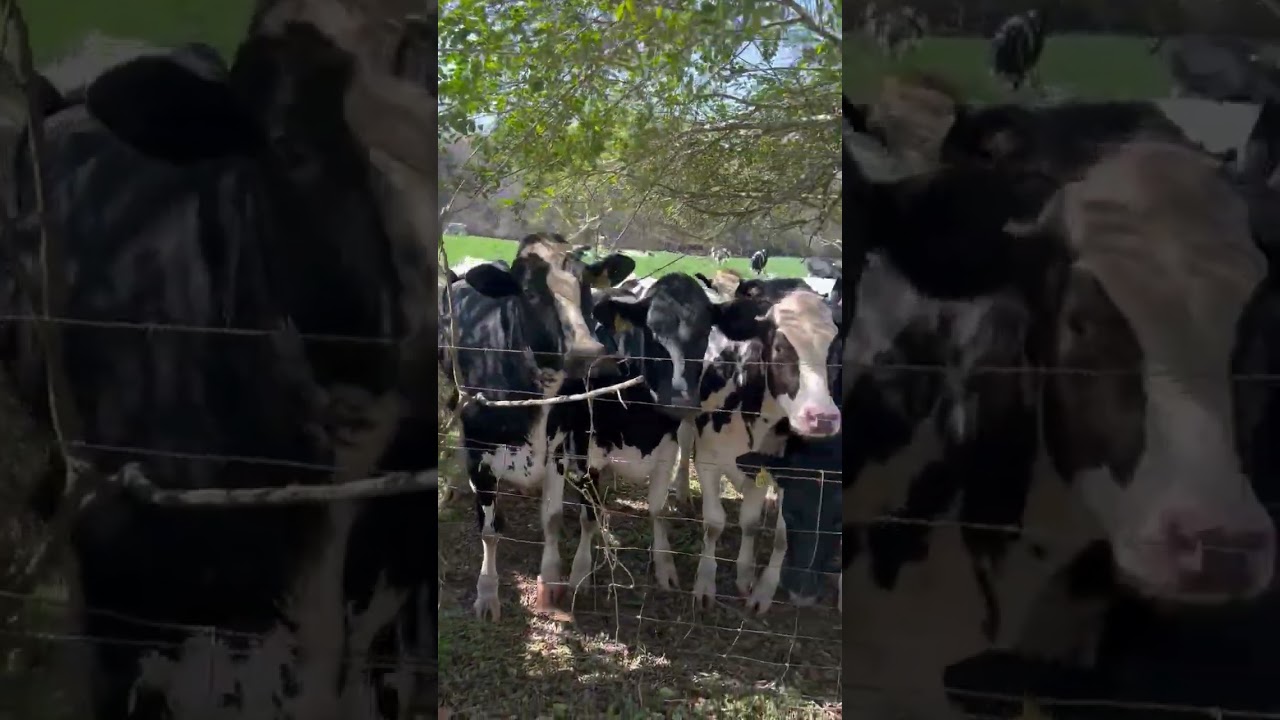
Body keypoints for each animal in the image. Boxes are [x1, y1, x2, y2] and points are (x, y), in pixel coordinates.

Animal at [444, 234, 634, 621]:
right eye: (530, 293)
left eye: (586, 284)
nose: (587, 352)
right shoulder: (479, 451)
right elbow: (489, 530)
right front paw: (487, 594)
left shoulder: (558, 448)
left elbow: (553, 518)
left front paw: (550, 583)